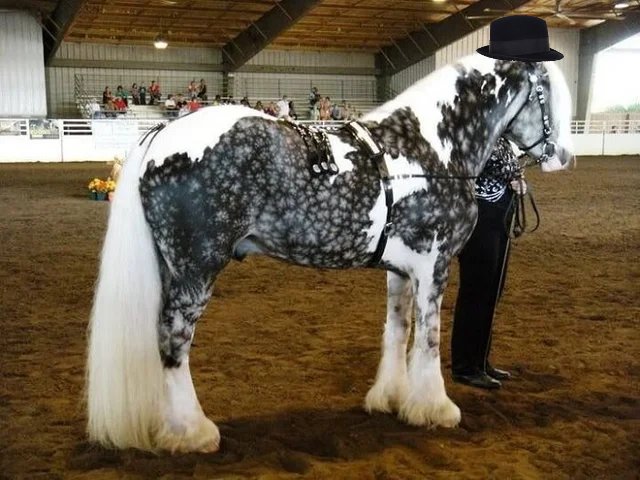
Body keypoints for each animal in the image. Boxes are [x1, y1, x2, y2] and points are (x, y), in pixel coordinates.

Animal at [87, 54, 574, 453]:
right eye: (548, 92)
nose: (564, 157)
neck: (430, 147)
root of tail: (163, 133)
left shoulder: (401, 270)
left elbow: (398, 331)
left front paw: (392, 399)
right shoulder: (433, 265)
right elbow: (430, 339)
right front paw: (435, 408)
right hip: (196, 268)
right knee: (173, 339)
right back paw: (193, 431)